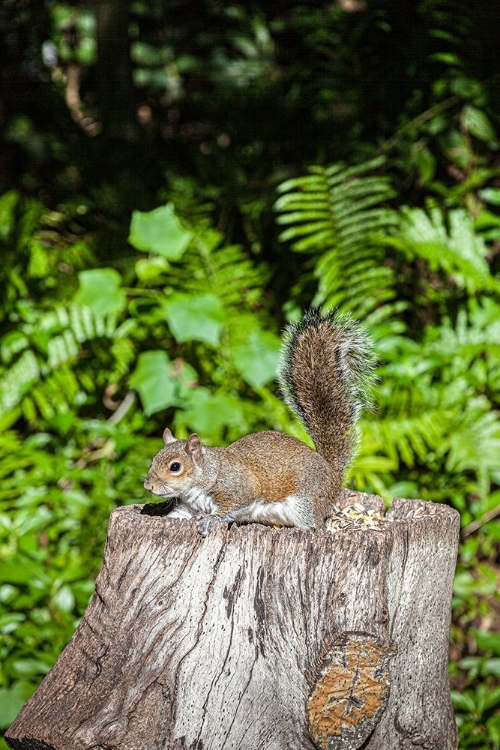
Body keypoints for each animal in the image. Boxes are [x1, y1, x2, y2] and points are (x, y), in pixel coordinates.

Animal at [143, 308, 374, 536]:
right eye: (153, 459)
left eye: (175, 467)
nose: (148, 486)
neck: (208, 473)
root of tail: (333, 475)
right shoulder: (189, 506)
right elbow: (179, 514)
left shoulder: (241, 489)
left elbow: (232, 507)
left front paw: (211, 519)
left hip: (306, 502)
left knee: (315, 525)